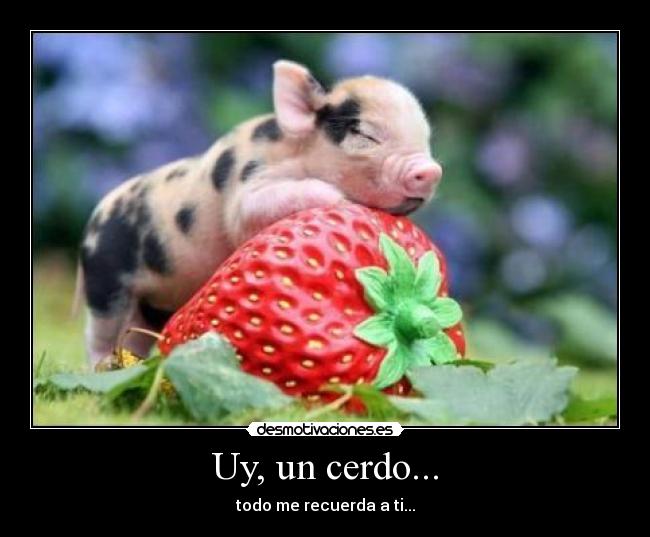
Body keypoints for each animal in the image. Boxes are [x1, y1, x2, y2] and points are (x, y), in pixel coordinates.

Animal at [79, 60, 443, 366]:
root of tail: (94, 220)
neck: (298, 154)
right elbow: (253, 209)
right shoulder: (245, 194)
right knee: (100, 330)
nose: (431, 170)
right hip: (106, 279)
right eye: (364, 133)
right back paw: (102, 367)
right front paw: (339, 199)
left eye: (426, 138)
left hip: (154, 303)